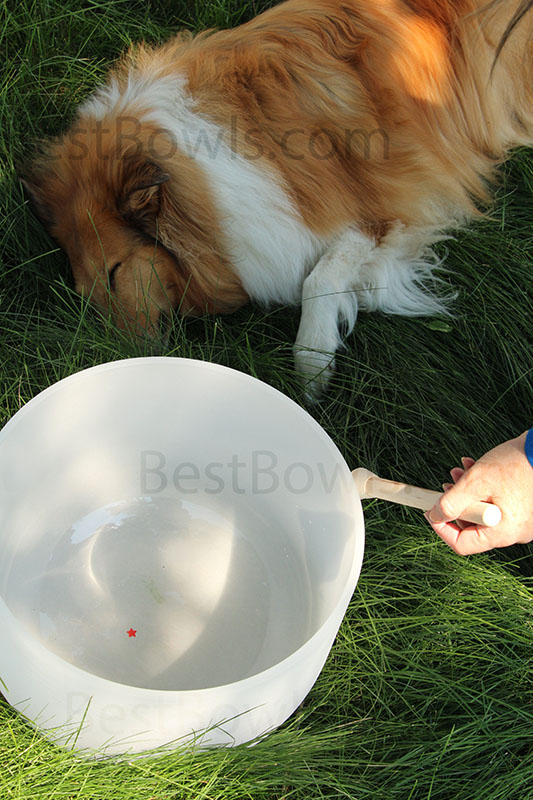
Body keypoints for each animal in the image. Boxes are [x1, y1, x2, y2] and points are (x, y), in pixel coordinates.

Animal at [21, 0, 532, 398]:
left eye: (114, 273)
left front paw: (312, 364)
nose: (120, 367)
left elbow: (319, 277)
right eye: (83, 294)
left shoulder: (392, 210)